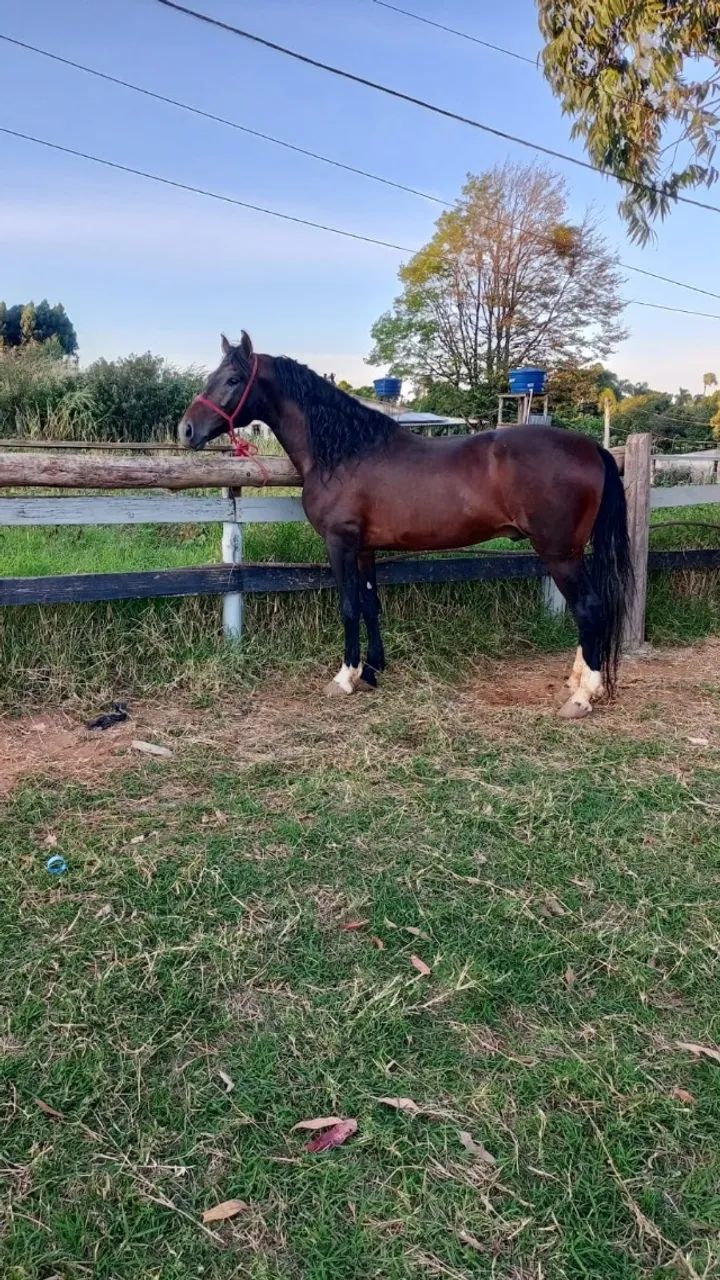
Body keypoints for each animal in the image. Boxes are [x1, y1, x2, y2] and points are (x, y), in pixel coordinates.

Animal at [179, 332, 632, 718]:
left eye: (233, 379)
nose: (186, 430)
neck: (346, 453)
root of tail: (592, 446)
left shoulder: (340, 543)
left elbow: (348, 606)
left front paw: (344, 678)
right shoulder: (364, 547)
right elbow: (370, 604)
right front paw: (372, 670)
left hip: (559, 553)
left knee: (589, 608)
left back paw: (582, 696)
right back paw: (576, 680)